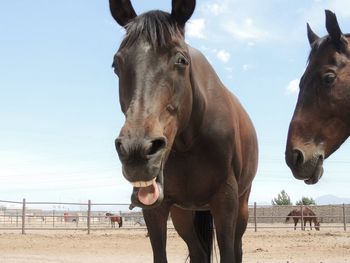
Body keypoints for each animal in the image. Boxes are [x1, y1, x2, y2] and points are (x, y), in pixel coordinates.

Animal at [109, 0, 260, 262]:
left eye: (181, 60)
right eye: (116, 63)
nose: (136, 151)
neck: (190, 141)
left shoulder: (226, 201)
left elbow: (229, 253)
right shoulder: (156, 208)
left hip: (241, 206)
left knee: (237, 248)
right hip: (183, 215)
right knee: (198, 251)